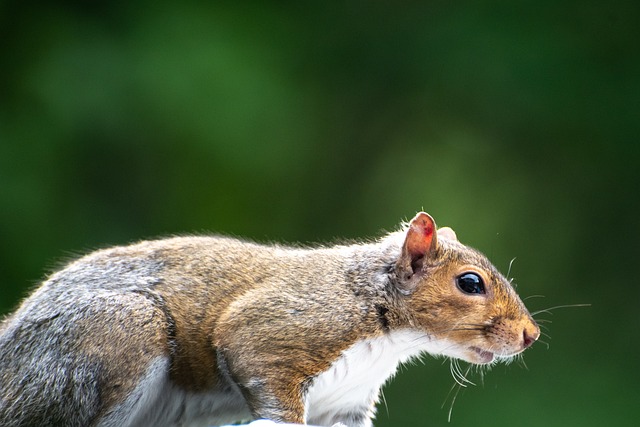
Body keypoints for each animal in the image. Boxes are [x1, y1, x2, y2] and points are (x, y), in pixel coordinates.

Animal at [0, 212, 540, 426]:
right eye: (470, 283)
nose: (531, 335)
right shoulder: (277, 330)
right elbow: (264, 378)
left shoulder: (347, 403)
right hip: (113, 336)